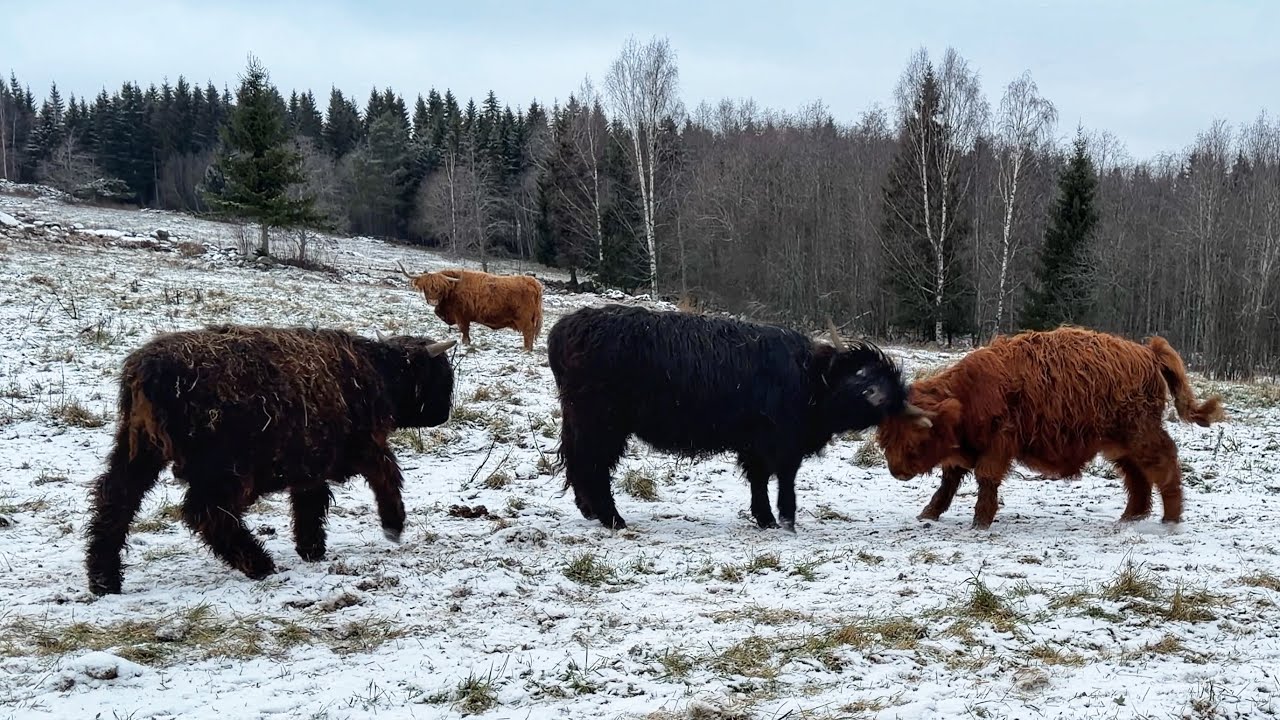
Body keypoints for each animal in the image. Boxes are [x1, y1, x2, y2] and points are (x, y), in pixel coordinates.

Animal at [84, 324, 457, 595]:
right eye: (440, 377)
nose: (445, 413)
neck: (377, 372)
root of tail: (146, 370)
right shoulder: (364, 446)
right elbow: (387, 475)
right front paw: (393, 524)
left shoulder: (311, 460)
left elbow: (310, 502)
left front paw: (311, 548)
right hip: (223, 467)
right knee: (206, 513)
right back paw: (258, 563)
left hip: (138, 452)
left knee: (114, 500)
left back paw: (104, 578)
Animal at [397, 262, 544, 352]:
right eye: (426, 287)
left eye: (439, 289)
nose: (433, 301)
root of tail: (533, 281)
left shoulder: (462, 315)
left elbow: (464, 331)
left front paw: (466, 343)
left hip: (525, 319)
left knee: (528, 333)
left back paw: (526, 350)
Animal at [547, 303, 914, 532]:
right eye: (862, 379)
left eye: (885, 383)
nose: (888, 399)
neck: (809, 380)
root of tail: (568, 326)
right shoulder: (779, 442)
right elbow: (783, 478)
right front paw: (784, 519)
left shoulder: (756, 444)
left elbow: (759, 480)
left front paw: (765, 518)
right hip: (602, 422)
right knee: (593, 465)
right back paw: (612, 518)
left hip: (580, 420)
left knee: (577, 461)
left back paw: (590, 511)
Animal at [874, 326, 1226, 530]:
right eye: (887, 435)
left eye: (915, 434)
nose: (896, 470)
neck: (968, 394)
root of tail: (1148, 352)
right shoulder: (964, 450)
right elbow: (948, 482)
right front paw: (928, 513)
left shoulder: (999, 442)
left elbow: (986, 479)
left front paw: (980, 522)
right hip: (1119, 442)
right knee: (1137, 476)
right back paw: (1131, 517)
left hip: (1141, 433)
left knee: (1164, 463)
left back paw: (1170, 519)